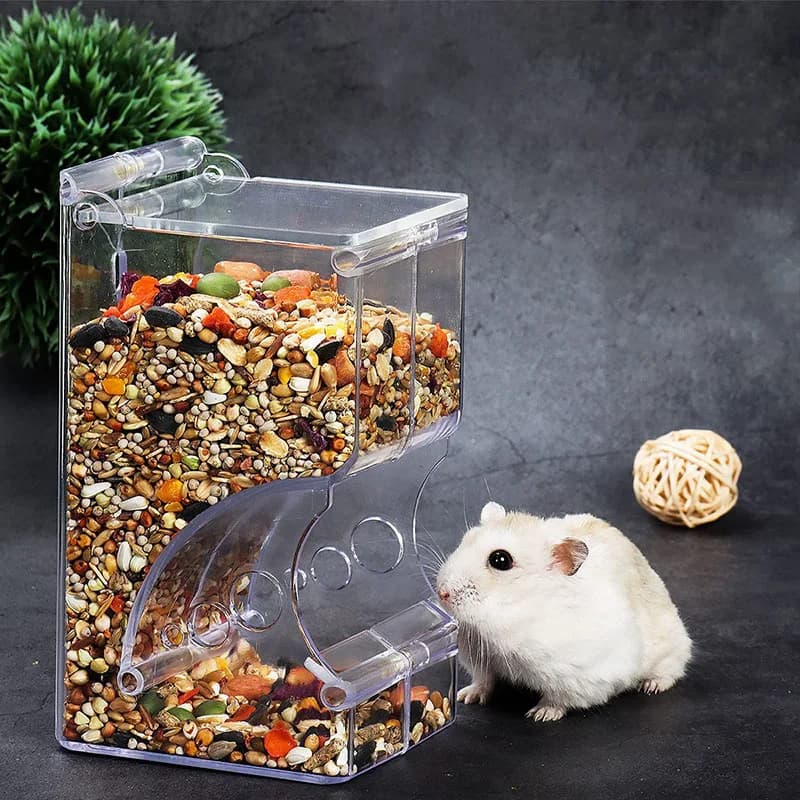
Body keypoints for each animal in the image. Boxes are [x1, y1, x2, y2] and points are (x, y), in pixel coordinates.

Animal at [436, 502, 692, 721]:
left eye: (500, 560)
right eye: (465, 539)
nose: (442, 593)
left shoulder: (577, 676)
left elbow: (559, 698)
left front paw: (540, 715)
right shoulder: (480, 660)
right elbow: (483, 680)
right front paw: (466, 696)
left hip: (671, 646)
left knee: (673, 668)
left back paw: (652, 686)